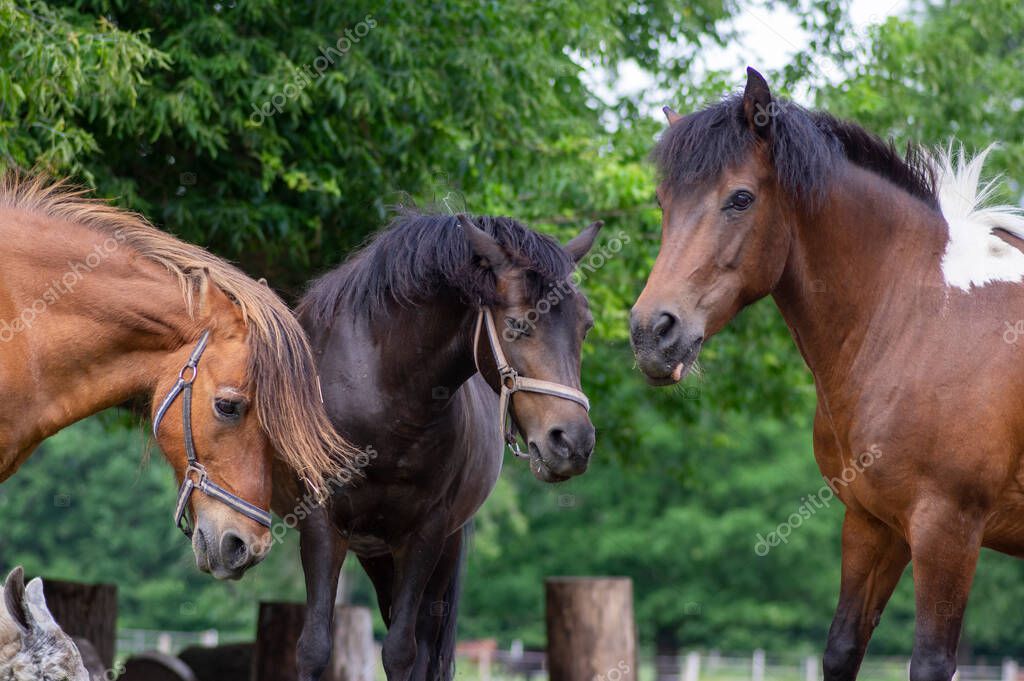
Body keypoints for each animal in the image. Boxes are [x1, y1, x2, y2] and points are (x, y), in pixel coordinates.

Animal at [290, 213, 598, 679]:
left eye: (585, 327)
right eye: (518, 324)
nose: (573, 442)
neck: (382, 398)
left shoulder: (427, 532)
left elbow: (402, 651)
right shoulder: (321, 523)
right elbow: (314, 649)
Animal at [626, 67, 1024, 679]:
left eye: (740, 198)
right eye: (663, 202)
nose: (652, 332)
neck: (921, 318)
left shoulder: (948, 528)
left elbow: (931, 661)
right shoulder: (871, 524)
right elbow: (841, 649)